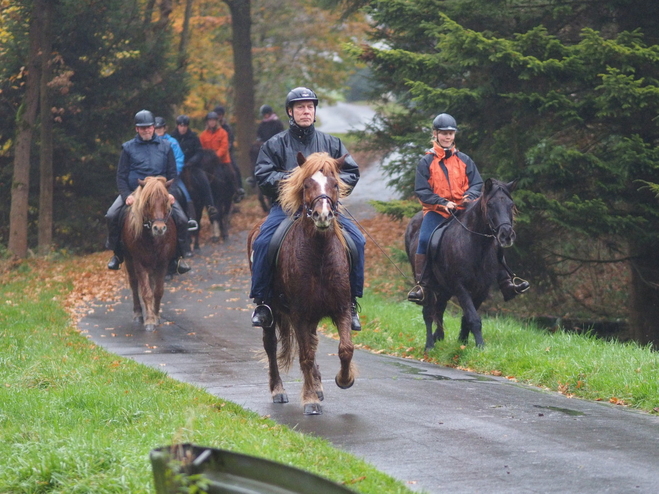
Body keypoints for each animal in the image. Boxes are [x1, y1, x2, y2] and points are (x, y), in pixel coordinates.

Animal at [122, 177, 178, 332]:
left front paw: (156, 316)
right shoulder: (139, 263)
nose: (159, 228)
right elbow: (146, 292)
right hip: (129, 260)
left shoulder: (163, 263)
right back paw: (138, 314)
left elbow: (158, 291)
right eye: (147, 201)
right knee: (134, 284)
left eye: (166, 200)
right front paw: (149, 321)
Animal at [246, 152, 356, 414]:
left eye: (335, 184)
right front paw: (311, 400)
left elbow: (345, 348)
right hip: (272, 312)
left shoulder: (342, 308)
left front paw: (344, 379)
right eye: (306, 185)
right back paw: (278, 390)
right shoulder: (299, 314)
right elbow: (305, 355)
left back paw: (318, 385)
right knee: (271, 346)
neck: (320, 255)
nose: (322, 215)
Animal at [404, 179, 520, 350]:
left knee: (439, 309)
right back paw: (429, 345)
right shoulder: (460, 287)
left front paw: (463, 342)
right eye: (490, 204)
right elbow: (473, 317)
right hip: (428, 286)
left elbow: (467, 317)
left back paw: (438, 336)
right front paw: (480, 347)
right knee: (428, 312)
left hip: (444, 288)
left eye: (511, 204)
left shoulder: (482, 289)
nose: (506, 235)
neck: (475, 246)